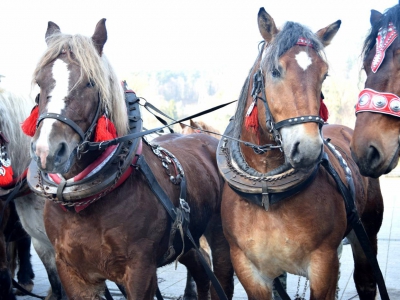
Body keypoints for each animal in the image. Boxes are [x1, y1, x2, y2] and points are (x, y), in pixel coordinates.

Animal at [219, 8, 384, 298]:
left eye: (324, 75)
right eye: (275, 71)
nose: (308, 148)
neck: (266, 192)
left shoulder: (323, 264)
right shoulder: (248, 269)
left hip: (366, 232)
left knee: (366, 279)